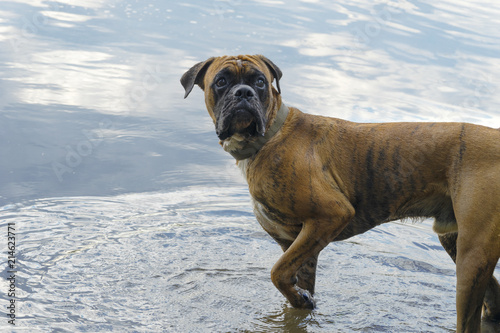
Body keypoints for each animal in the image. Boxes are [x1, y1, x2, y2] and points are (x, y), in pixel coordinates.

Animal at [181, 53, 500, 330]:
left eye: (260, 81)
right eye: (221, 81)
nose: (244, 93)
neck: (269, 137)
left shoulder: (330, 216)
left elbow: (277, 272)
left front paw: (299, 297)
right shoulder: (297, 246)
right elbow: (292, 283)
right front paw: (301, 301)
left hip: (472, 257)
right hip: (457, 245)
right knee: (492, 300)